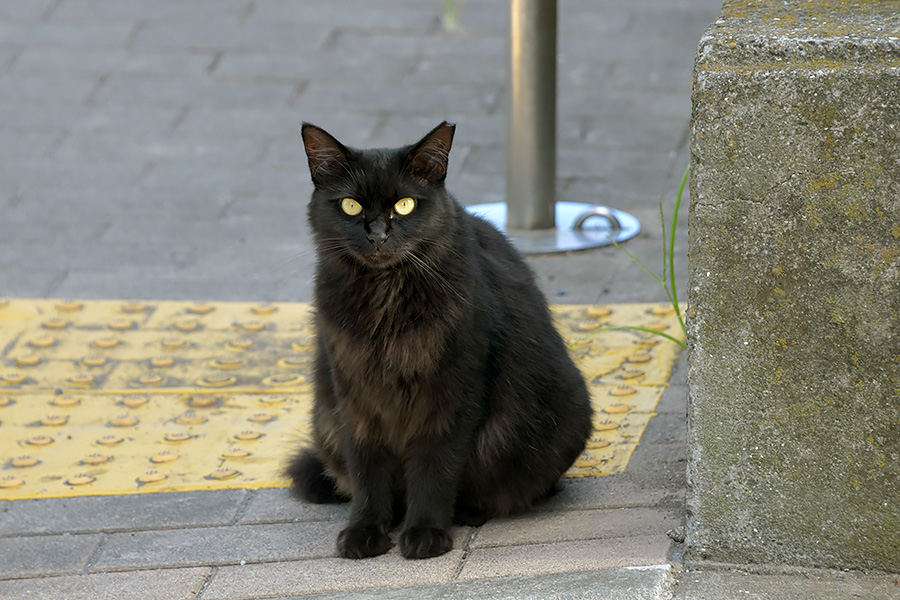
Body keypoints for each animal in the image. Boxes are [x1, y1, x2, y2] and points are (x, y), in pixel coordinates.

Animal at [288, 120, 596, 556]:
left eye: (405, 205)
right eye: (350, 206)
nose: (377, 234)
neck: (386, 300)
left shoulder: (452, 396)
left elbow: (435, 469)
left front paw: (425, 532)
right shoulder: (355, 397)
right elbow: (367, 473)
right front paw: (366, 529)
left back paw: (466, 512)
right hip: (325, 417)